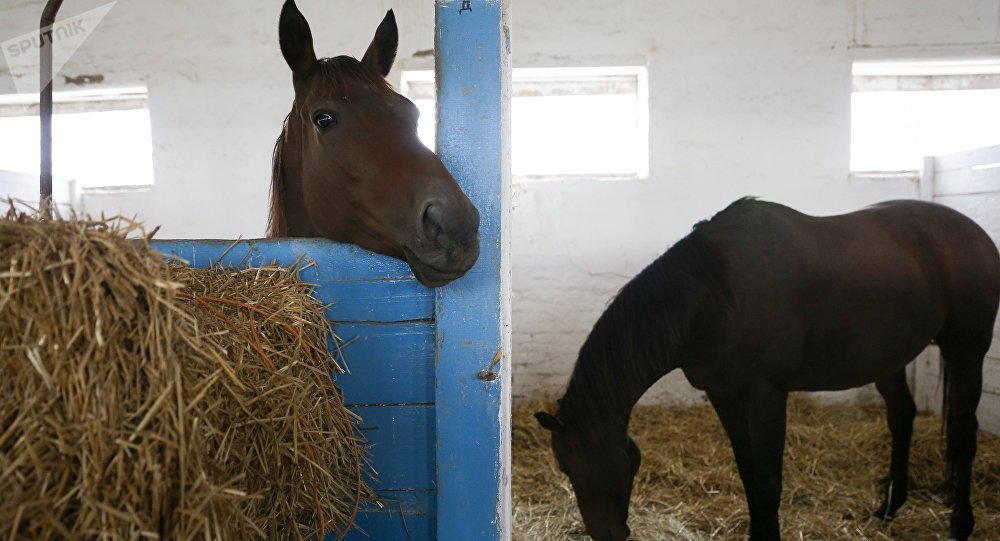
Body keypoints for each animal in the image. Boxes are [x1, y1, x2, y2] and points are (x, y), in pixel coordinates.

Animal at [540, 198, 1000, 540]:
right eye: (564, 466)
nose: (606, 536)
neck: (713, 295)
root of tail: (974, 233)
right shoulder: (724, 395)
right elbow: (748, 475)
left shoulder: (766, 394)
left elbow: (767, 484)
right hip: (889, 358)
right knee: (902, 417)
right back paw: (888, 508)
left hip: (966, 350)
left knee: (963, 435)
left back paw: (960, 526)